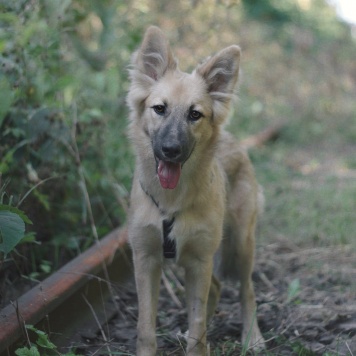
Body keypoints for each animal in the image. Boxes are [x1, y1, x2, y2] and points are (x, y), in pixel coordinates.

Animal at [127, 26, 264, 354]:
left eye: (195, 114)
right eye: (159, 109)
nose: (170, 150)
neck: (171, 201)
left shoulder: (200, 260)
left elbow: (198, 324)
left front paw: (199, 343)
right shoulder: (145, 258)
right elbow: (146, 327)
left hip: (241, 242)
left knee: (247, 290)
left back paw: (252, 337)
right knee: (216, 287)